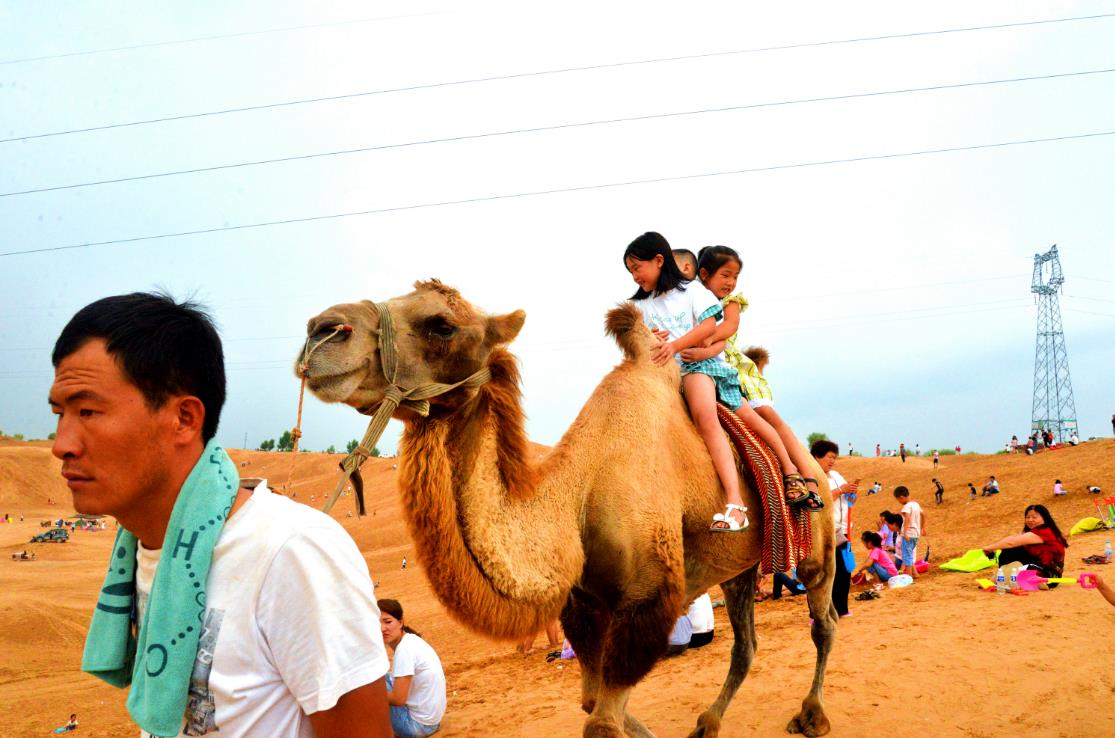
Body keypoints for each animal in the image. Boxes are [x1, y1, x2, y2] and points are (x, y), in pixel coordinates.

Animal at [298, 280, 838, 735]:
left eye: (441, 324)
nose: (321, 331)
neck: (577, 498)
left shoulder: (646, 602)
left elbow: (601, 721)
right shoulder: (586, 606)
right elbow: (594, 705)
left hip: (820, 543)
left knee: (823, 620)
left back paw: (812, 715)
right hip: (740, 568)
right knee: (746, 646)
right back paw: (707, 723)